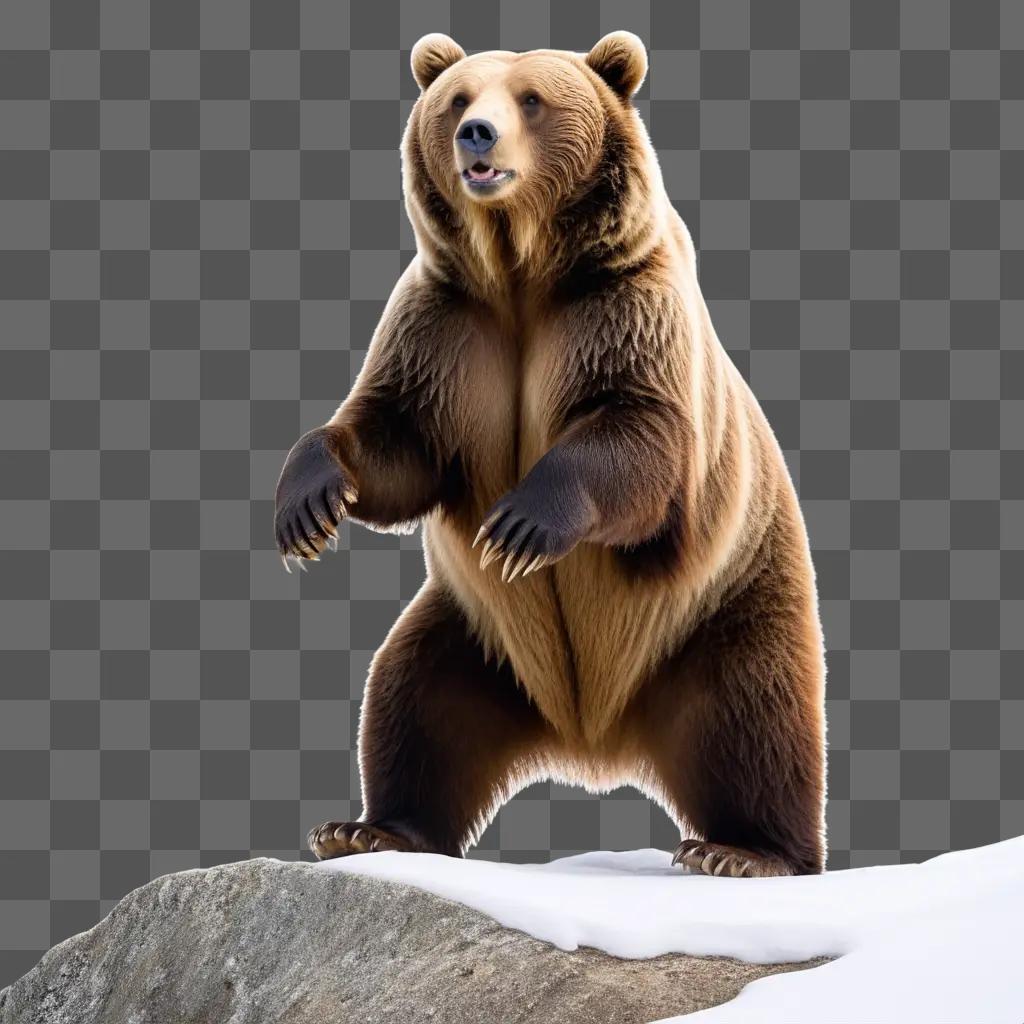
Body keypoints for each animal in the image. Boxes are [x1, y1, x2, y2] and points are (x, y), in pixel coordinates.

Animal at [276, 34, 827, 880]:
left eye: (531, 99)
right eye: (457, 99)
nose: (478, 134)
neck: (522, 272)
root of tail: (594, 735)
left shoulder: (622, 310)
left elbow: (638, 435)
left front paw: (522, 523)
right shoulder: (448, 330)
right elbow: (398, 439)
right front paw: (308, 503)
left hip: (722, 607)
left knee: (754, 715)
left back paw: (745, 851)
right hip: (478, 641)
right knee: (413, 701)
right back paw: (371, 829)